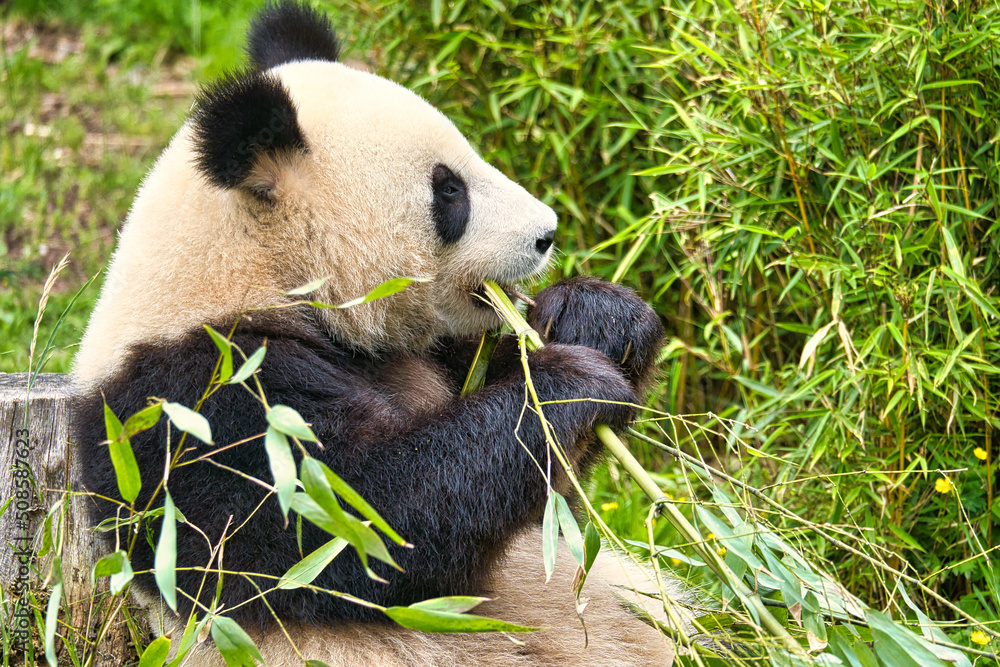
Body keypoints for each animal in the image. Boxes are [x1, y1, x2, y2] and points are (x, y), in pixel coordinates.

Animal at [71, 2, 686, 665]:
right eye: (449, 190)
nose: (546, 233)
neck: (255, 272)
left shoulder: (420, 352)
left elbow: (551, 511)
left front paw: (597, 318)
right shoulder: (201, 400)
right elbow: (362, 525)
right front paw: (568, 385)